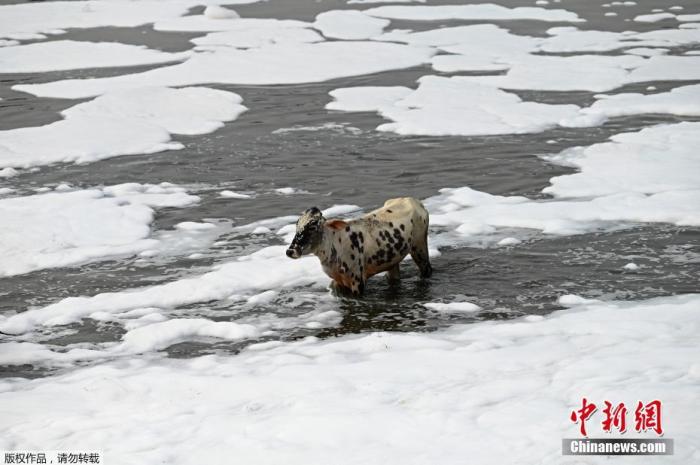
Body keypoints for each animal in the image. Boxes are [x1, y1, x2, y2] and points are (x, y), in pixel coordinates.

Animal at [284, 197, 432, 294]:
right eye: (297, 224)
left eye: (312, 226)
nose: (290, 251)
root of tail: (412, 200)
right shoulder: (338, 281)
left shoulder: (358, 281)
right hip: (392, 260)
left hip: (419, 248)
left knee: (427, 269)